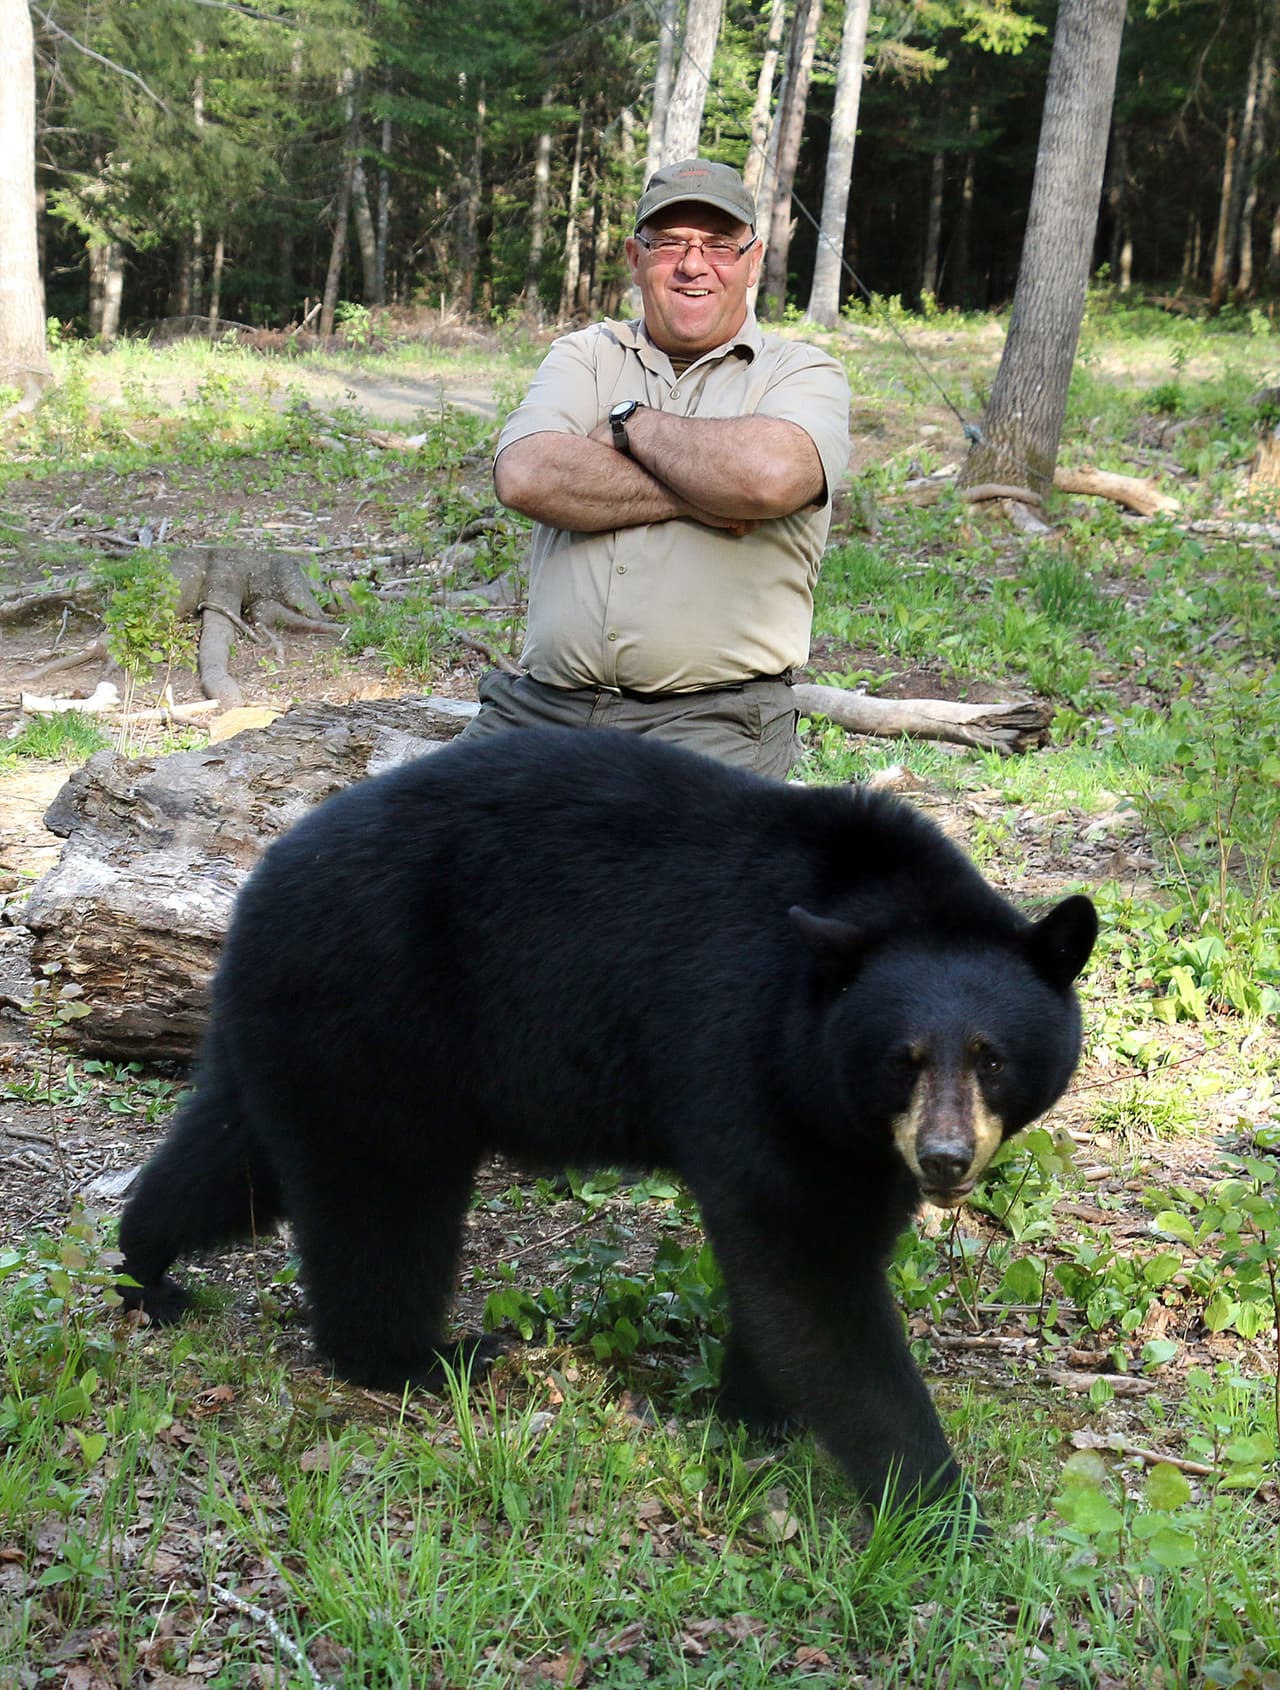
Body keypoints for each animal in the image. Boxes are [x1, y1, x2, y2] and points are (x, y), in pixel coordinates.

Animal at [117, 726, 1096, 1530]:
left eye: (993, 1058)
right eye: (904, 1057)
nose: (945, 1158)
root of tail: (259, 875)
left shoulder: (847, 1124)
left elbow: (815, 1258)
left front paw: (753, 1410)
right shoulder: (748, 1050)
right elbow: (809, 1275)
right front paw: (941, 1511)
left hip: (293, 1025)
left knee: (234, 1152)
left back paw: (146, 1268)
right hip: (380, 1013)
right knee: (383, 1200)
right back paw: (420, 1357)